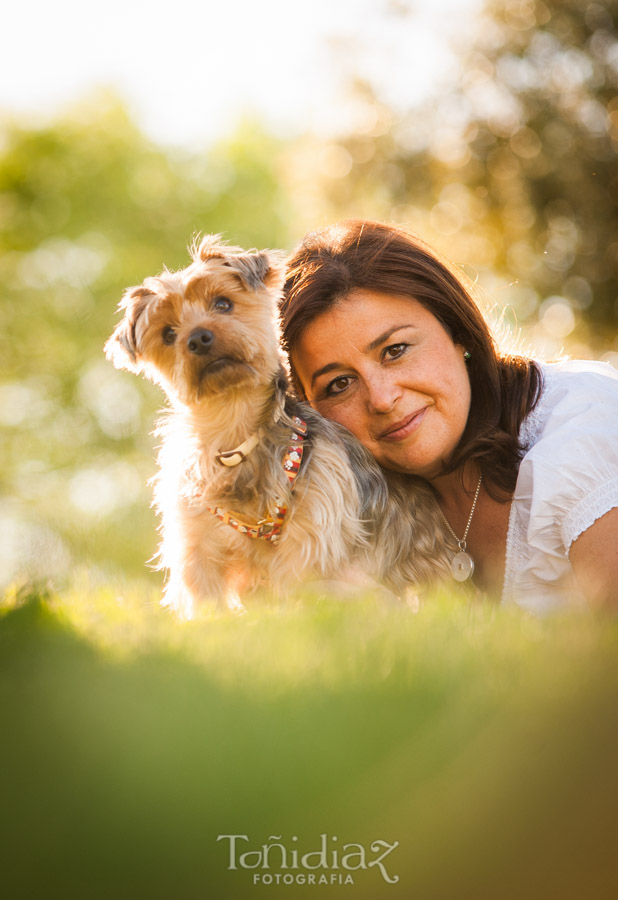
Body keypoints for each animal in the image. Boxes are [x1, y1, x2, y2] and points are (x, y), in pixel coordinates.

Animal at [104, 236, 452, 616]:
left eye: (223, 303)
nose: (197, 338)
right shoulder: (197, 542)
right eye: (168, 334)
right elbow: (207, 600)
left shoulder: (312, 536)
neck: (234, 433)